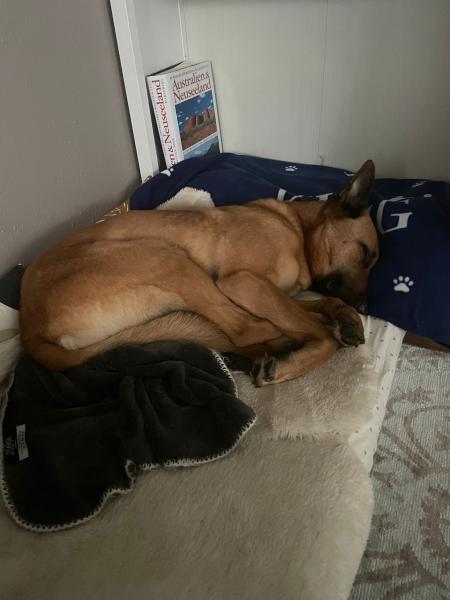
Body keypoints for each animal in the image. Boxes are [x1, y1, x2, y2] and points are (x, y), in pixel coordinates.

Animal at [20, 160, 379, 386]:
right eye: (365, 254)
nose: (365, 306)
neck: (296, 228)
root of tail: (29, 329)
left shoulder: (269, 291)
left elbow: (315, 303)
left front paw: (346, 316)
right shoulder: (243, 283)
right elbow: (313, 327)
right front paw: (319, 339)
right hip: (166, 257)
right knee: (246, 330)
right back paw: (285, 344)